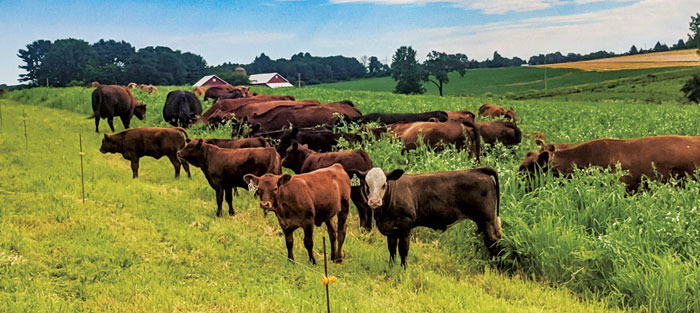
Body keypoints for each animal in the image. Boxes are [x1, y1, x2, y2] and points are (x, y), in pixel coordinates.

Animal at [350, 167, 504, 266]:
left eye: (384, 184)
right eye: (366, 184)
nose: (375, 201)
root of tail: (478, 170)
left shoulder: (406, 228)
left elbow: (403, 251)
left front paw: (403, 270)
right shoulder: (391, 230)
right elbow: (392, 250)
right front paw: (391, 268)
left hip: (487, 219)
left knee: (494, 242)